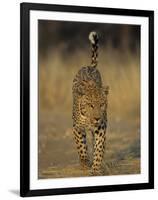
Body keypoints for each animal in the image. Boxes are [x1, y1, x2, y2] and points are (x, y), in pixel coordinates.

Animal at [72, 31, 108, 175]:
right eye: (90, 105)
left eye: (102, 105)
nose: (97, 118)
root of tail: (90, 66)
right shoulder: (77, 127)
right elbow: (81, 147)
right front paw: (84, 164)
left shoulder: (101, 127)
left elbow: (99, 148)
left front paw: (96, 168)